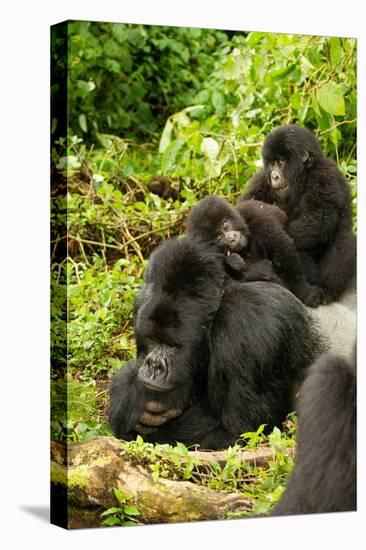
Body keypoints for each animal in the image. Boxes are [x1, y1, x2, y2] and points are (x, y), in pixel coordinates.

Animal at [108, 236, 324, 448]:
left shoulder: (248, 324)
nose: (153, 365)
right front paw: (129, 394)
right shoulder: (143, 301)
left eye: (172, 345)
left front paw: (131, 400)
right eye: (152, 340)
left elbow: (237, 431)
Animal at [242, 125, 356, 304]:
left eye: (280, 162)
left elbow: (318, 220)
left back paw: (326, 291)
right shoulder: (261, 178)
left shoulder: (325, 175)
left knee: (345, 240)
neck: (304, 174)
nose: (274, 176)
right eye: (271, 164)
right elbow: (242, 206)